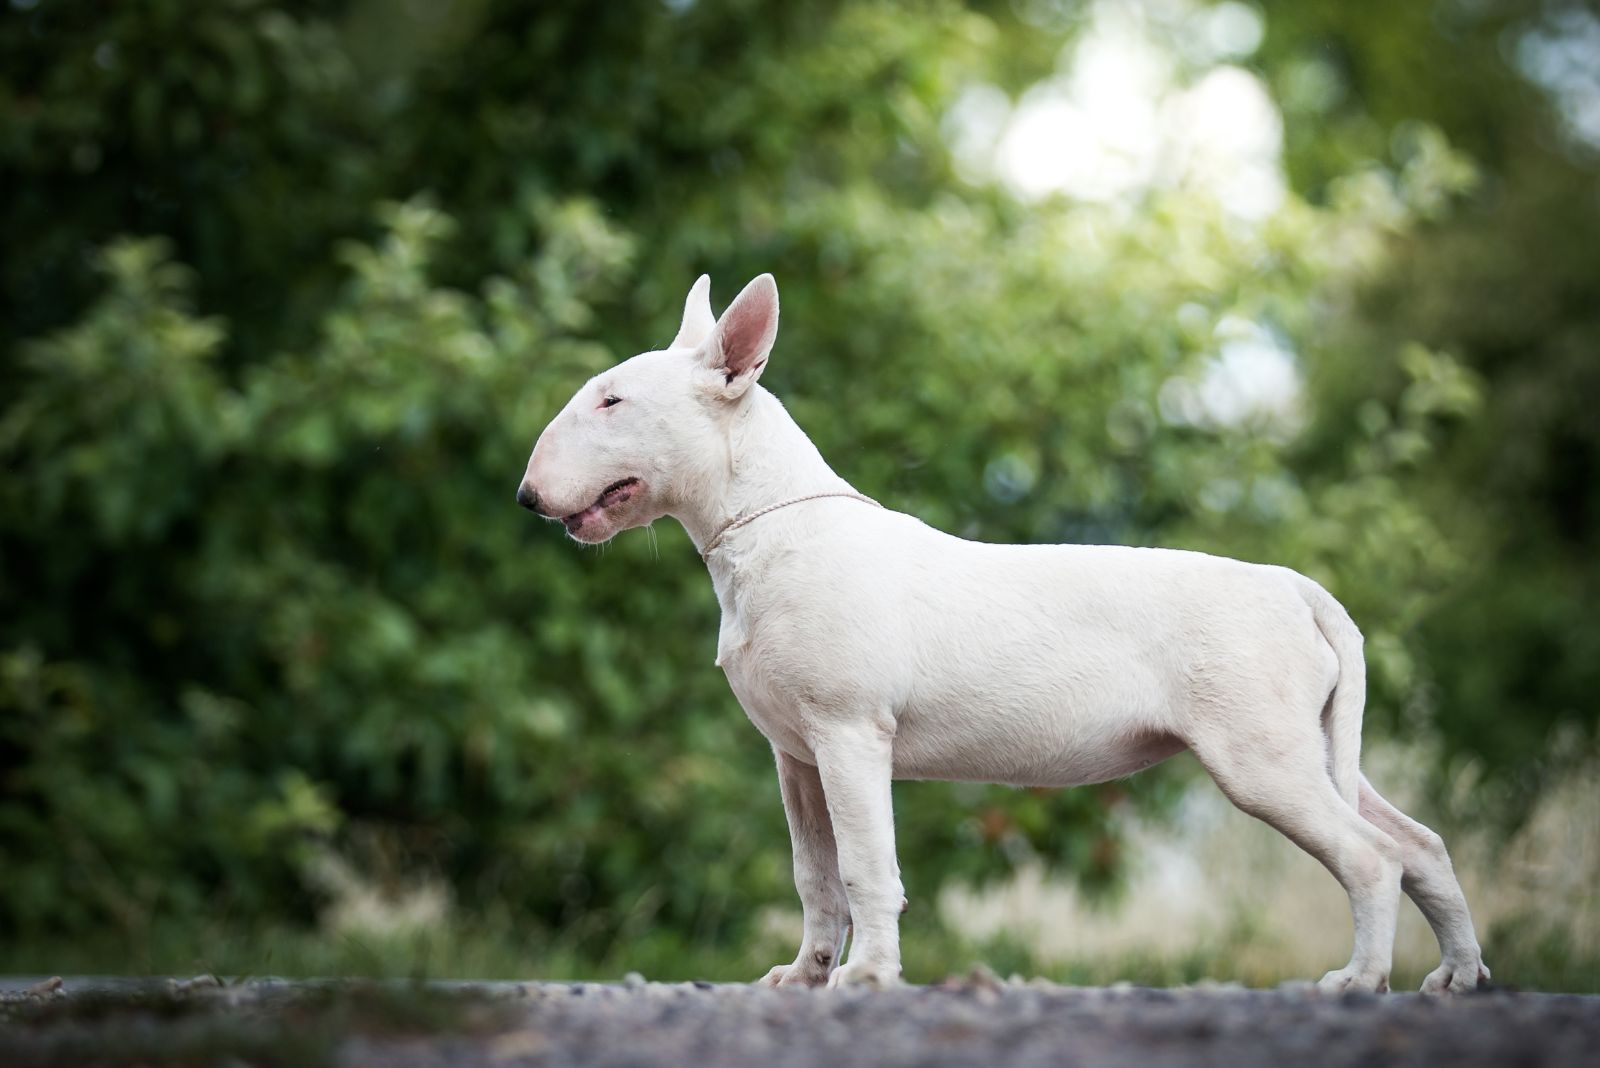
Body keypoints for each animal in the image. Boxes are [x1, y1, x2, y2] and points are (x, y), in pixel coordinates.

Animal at [518, 273, 1491, 991]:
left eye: (611, 401)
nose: (526, 497)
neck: (770, 526)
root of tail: (1296, 588)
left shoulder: (850, 733)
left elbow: (867, 866)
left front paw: (868, 978)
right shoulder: (795, 756)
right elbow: (814, 875)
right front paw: (805, 975)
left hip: (1261, 756)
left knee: (1370, 857)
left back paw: (1358, 982)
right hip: (1312, 748)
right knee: (1419, 844)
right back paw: (1455, 977)